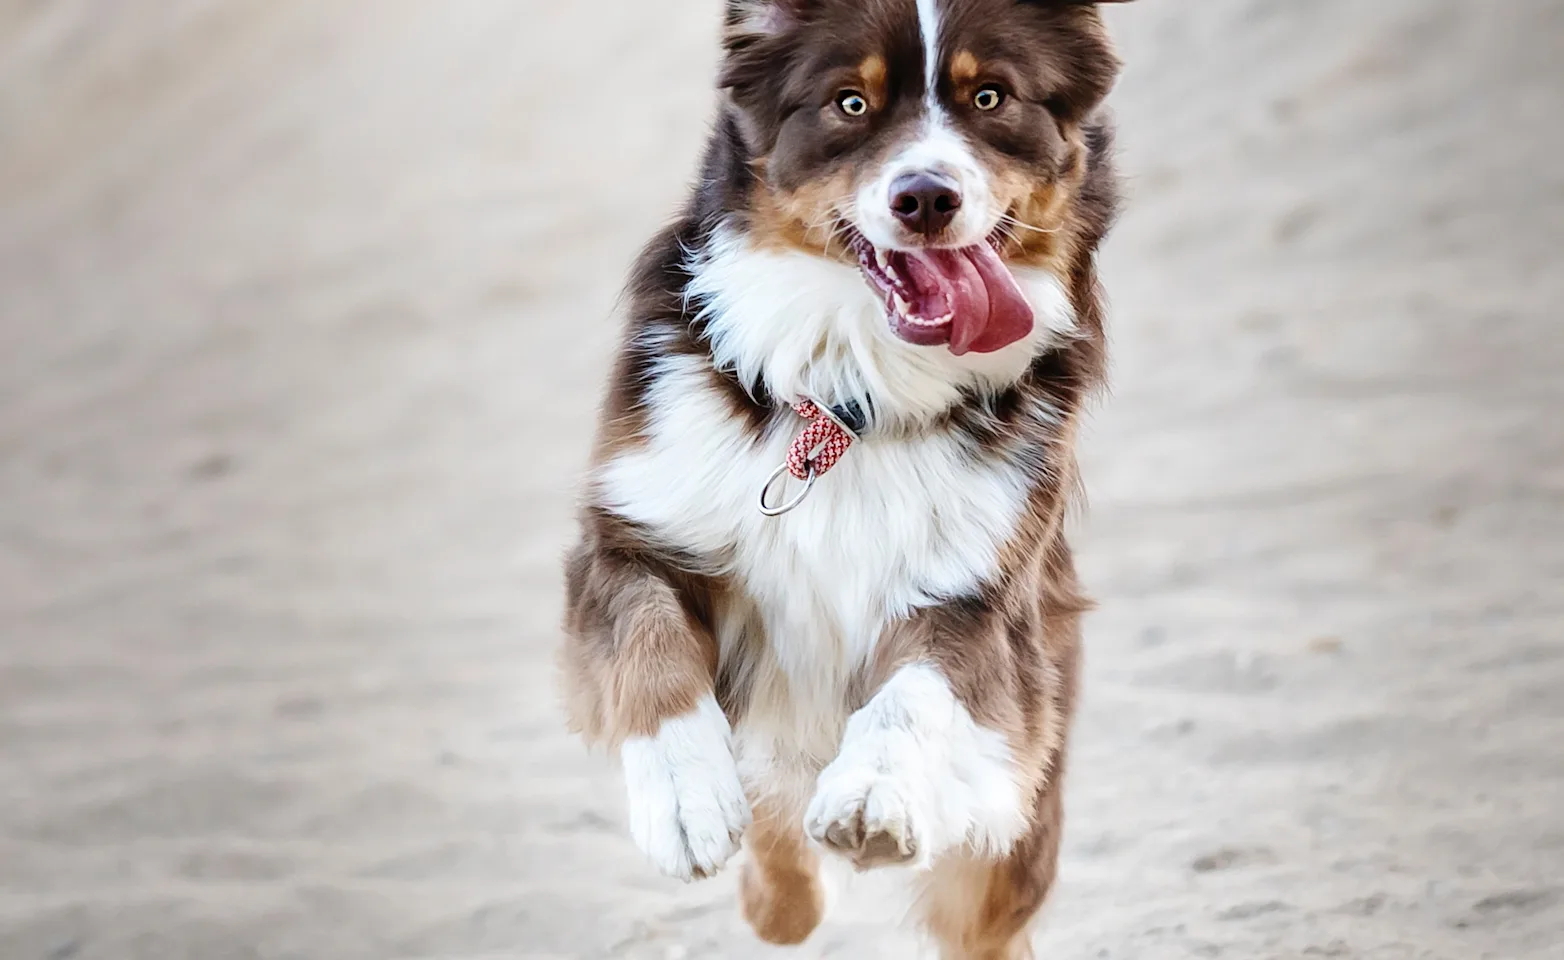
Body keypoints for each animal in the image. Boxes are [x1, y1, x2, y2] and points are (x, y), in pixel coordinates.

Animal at [563, 1, 1126, 956]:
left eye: (990, 96)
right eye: (850, 103)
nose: (926, 198)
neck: (850, 397)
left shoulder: (980, 600)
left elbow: (917, 691)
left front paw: (874, 795)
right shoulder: (632, 532)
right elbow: (648, 644)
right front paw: (685, 800)